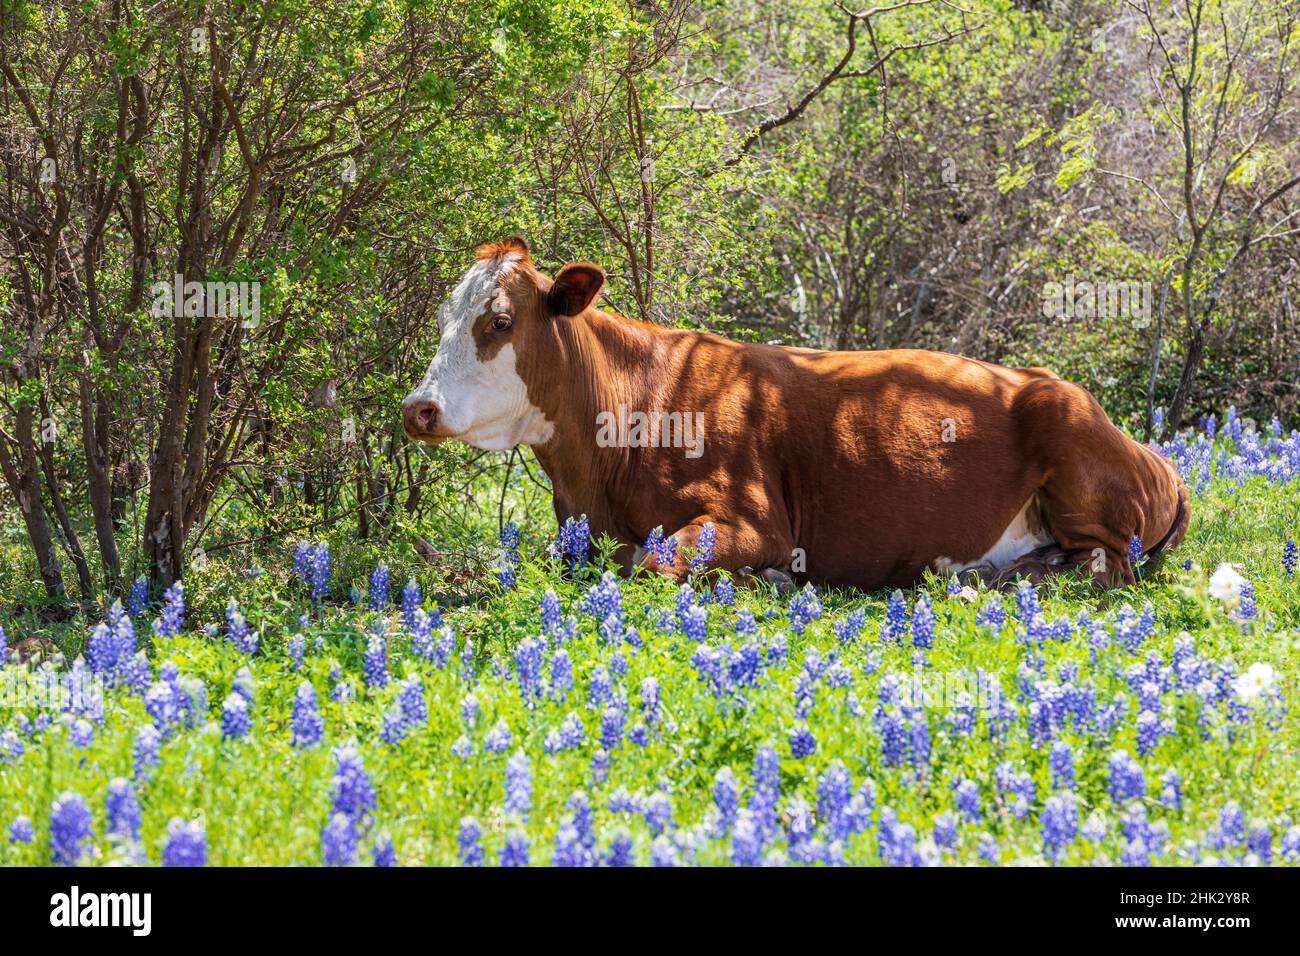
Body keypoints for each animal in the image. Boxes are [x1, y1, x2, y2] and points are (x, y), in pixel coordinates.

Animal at [402, 238, 1189, 590]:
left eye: (500, 321)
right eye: (443, 317)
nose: (418, 407)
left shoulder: (754, 519)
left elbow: (653, 557)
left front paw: (771, 579)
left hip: (1076, 456)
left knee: (1102, 566)